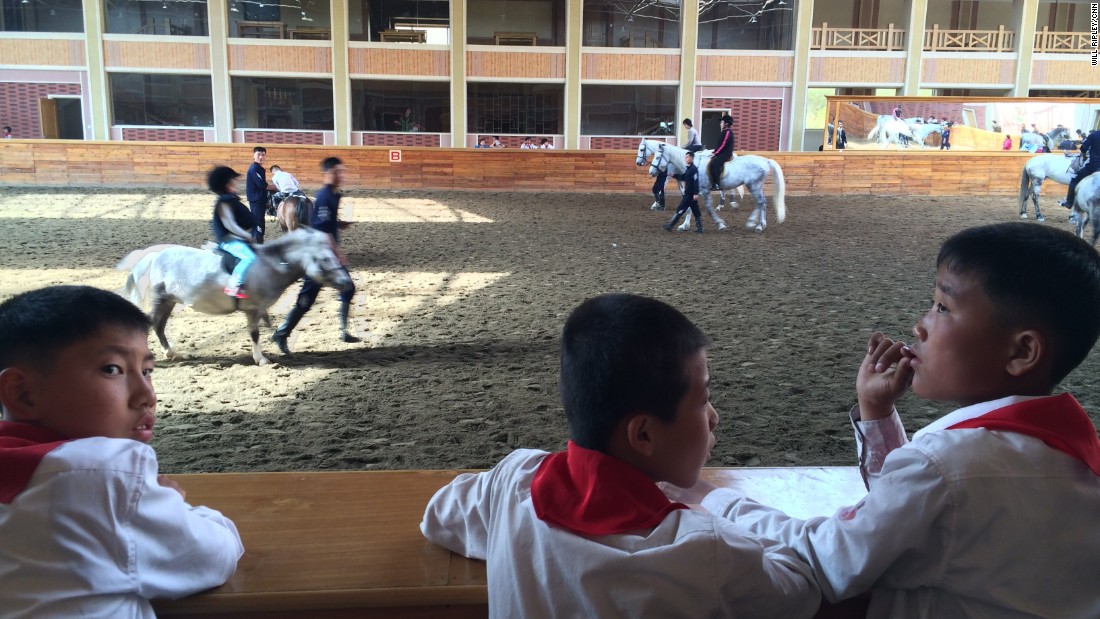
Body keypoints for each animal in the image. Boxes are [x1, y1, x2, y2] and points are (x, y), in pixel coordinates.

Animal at [116, 227, 349, 365]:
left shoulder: (259, 309)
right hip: (161, 299)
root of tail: (155, 256)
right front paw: (261, 359)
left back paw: (172, 353)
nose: (346, 282)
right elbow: (254, 333)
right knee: (152, 323)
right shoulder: (252, 309)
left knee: (159, 325)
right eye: (325, 259)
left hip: (169, 301)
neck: (268, 266)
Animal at [646, 142, 787, 233]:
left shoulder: (704, 190)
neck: (694, 166)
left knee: (760, 202)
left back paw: (754, 223)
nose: (651, 172)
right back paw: (761, 225)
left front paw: (720, 224)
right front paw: (684, 225)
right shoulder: (693, 190)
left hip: (754, 186)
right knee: (763, 203)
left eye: (657, 157)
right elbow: (689, 207)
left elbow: (707, 208)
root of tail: (765, 160)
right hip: (757, 187)